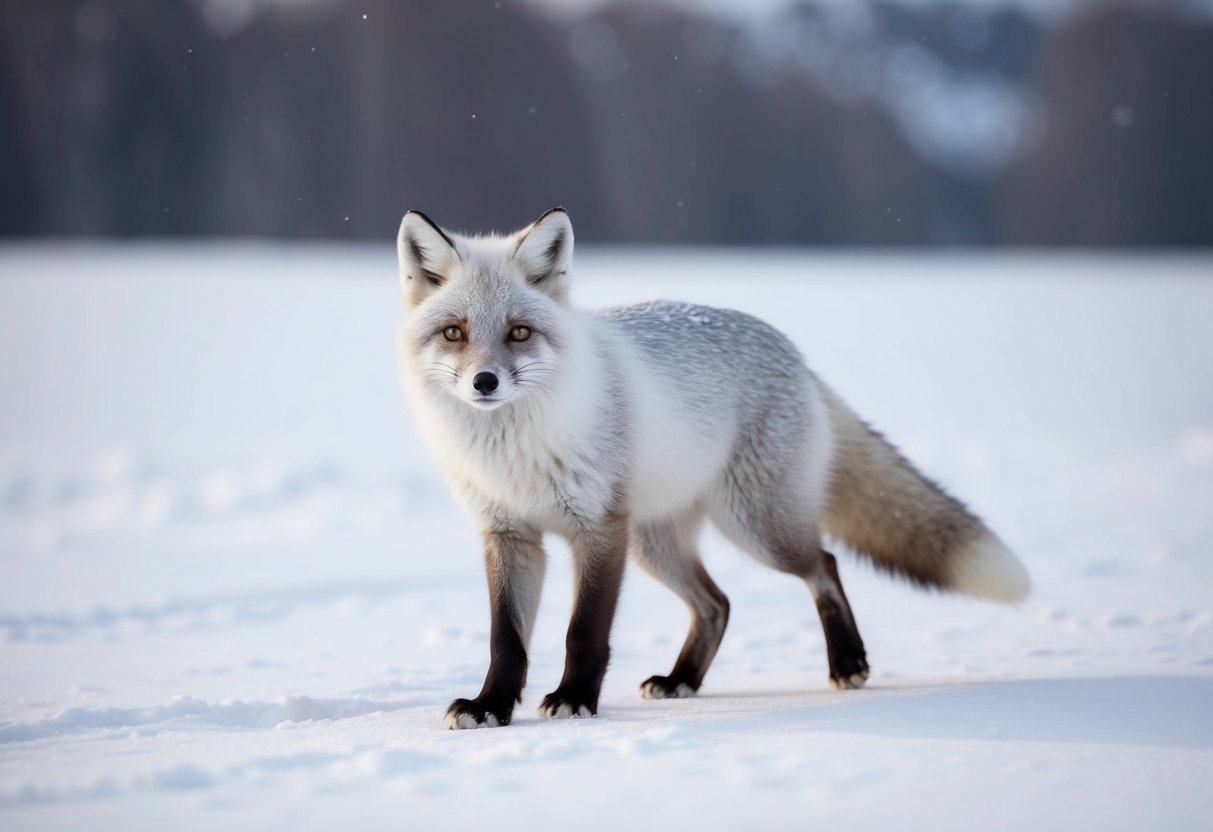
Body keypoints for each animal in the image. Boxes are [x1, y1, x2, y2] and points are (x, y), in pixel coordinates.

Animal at [395, 207, 1031, 729]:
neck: (513, 451)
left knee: (822, 563)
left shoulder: (598, 529)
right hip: (656, 544)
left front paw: (575, 699)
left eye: (519, 332)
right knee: (717, 604)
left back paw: (848, 662)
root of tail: (794, 353)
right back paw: (683, 680)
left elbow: (584, 632)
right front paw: (491, 707)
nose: (485, 382)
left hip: (755, 529)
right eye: (454, 332)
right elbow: (507, 641)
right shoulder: (509, 534)